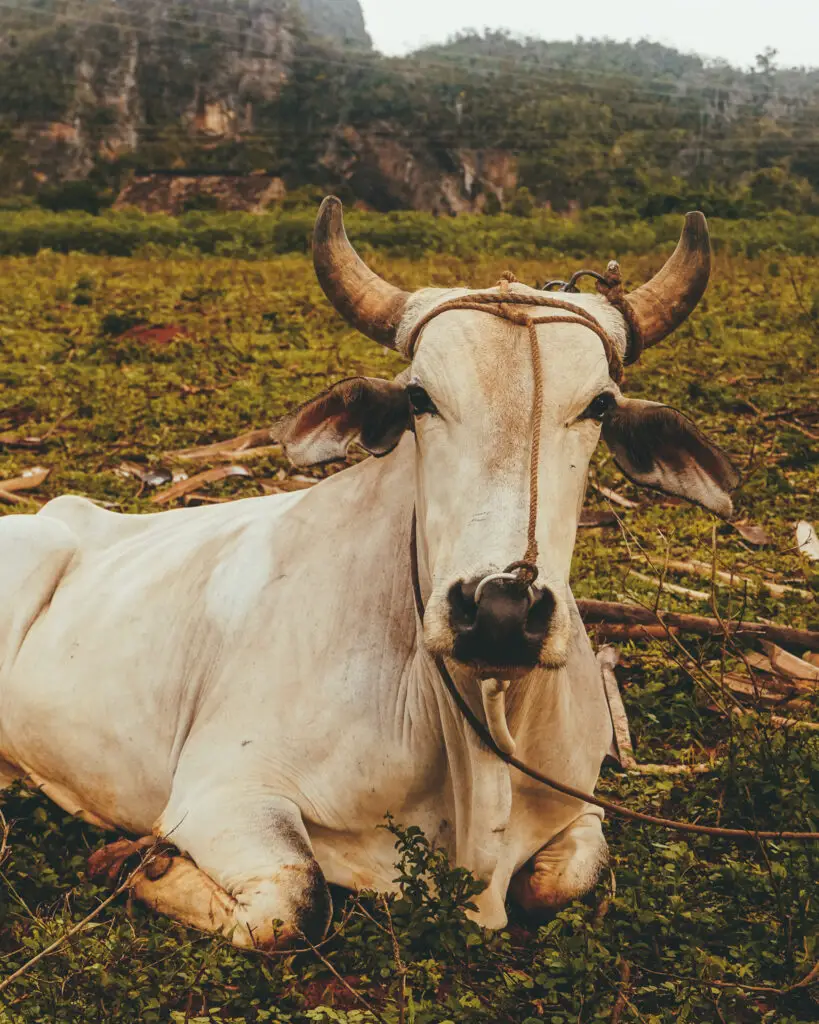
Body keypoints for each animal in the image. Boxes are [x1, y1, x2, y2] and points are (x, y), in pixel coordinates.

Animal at [0, 199, 737, 950]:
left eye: (599, 405)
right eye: (419, 398)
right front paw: (139, 864)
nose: (500, 609)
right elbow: (295, 902)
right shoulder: (222, 792)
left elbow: (565, 878)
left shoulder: (579, 807)